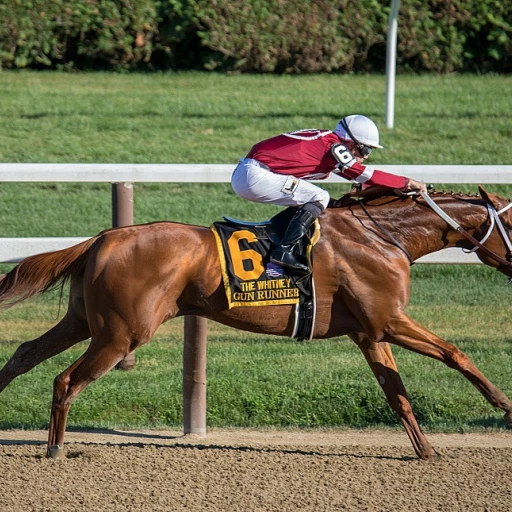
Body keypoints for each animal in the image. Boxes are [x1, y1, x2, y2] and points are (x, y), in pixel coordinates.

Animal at [0, 185, 510, 460]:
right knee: (66, 380)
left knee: (24, 354)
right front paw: (503, 404)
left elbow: (397, 393)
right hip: (120, 334)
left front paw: (426, 450)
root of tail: (103, 238)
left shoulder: (369, 331)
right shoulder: (389, 321)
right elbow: (455, 353)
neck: (384, 236)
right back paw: (55, 447)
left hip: (86, 322)